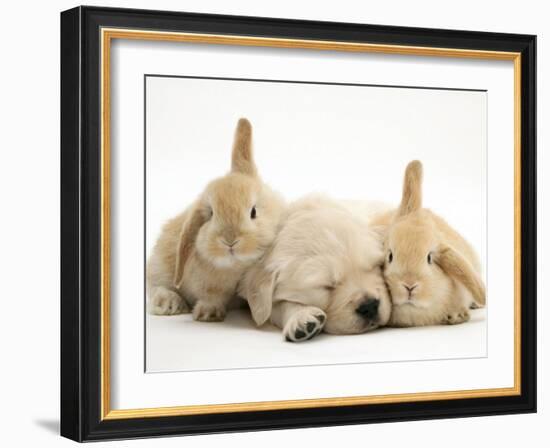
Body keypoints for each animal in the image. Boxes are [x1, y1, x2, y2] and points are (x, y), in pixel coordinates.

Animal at [144, 118, 286, 322]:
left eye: (253, 212)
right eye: (211, 214)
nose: (230, 240)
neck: (236, 268)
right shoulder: (208, 285)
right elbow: (212, 296)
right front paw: (208, 313)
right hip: (159, 265)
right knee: (157, 287)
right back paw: (168, 304)